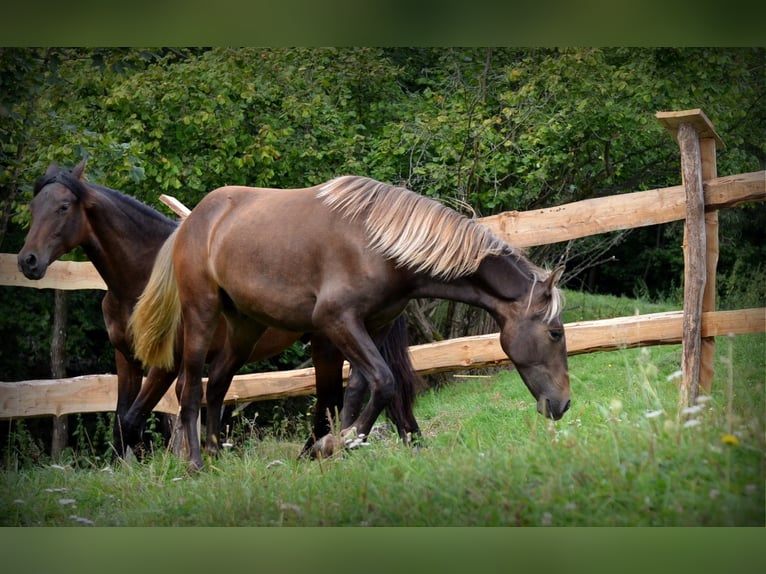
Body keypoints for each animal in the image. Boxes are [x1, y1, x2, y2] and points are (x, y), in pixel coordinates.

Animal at [17, 161, 420, 459]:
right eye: (33, 207)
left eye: (63, 207)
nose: (28, 261)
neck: (143, 276)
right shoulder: (126, 359)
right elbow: (124, 420)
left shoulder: (168, 363)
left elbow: (138, 418)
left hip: (330, 342)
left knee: (341, 396)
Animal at [129, 175, 571, 471]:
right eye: (555, 332)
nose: (563, 404)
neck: (380, 245)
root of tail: (193, 221)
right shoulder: (337, 322)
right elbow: (382, 381)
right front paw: (334, 444)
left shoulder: (374, 326)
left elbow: (363, 387)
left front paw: (339, 445)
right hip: (201, 315)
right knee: (190, 387)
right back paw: (196, 464)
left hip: (245, 328)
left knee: (218, 384)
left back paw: (217, 455)